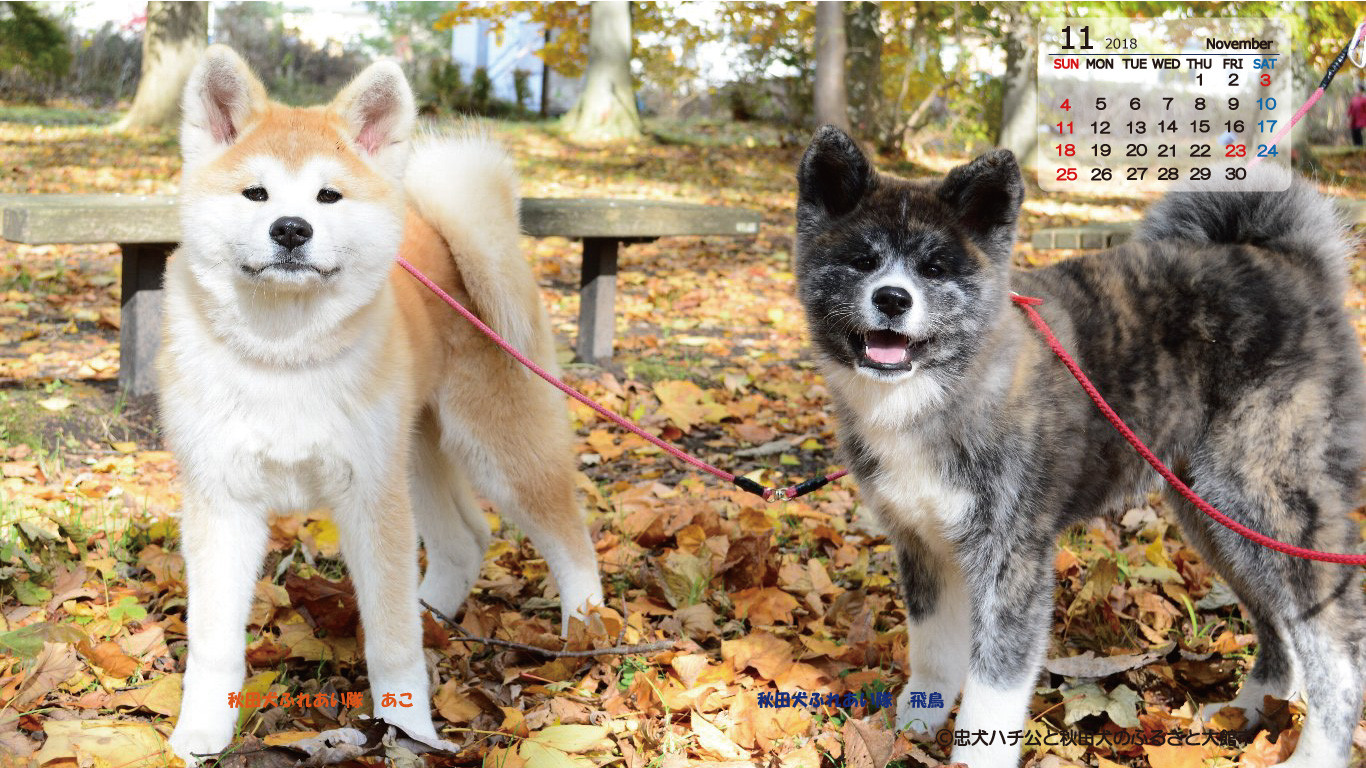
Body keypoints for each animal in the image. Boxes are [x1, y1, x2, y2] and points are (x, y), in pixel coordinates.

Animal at [797, 127, 1360, 765]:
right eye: (863, 261)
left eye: (935, 267)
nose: (893, 298)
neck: (937, 393)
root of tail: (1293, 264)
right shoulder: (923, 544)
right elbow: (933, 650)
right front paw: (917, 724)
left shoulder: (1011, 557)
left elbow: (994, 683)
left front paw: (973, 752)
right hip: (1216, 516)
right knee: (1278, 625)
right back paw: (1248, 712)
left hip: (1266, 498)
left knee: (1334, 647)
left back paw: (1314, 752)